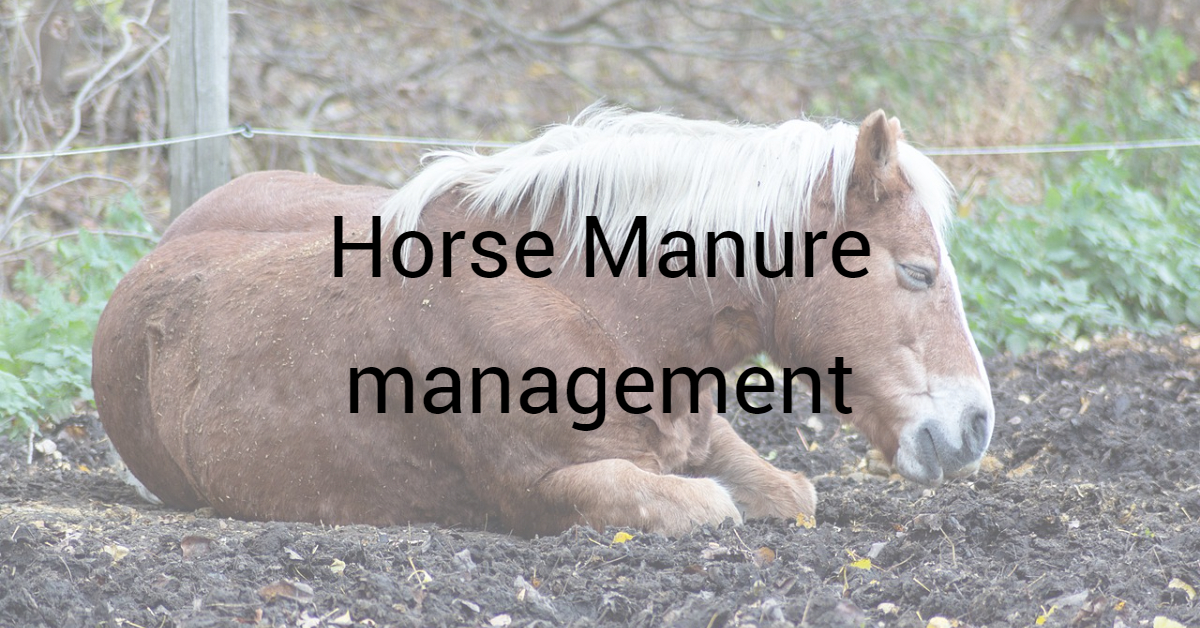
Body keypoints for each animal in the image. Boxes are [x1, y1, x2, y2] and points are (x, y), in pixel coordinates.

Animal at [92, 106, 994, 536]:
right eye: (917, 270)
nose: (975, 427)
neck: (593, 307)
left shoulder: (703, 444)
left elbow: (789, 491)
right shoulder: (548, 486)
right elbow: (708, 507)